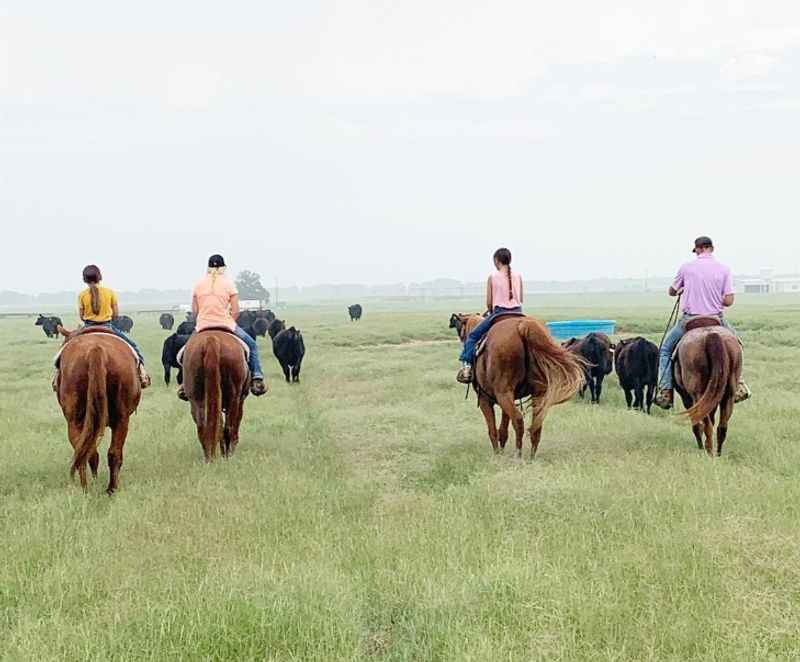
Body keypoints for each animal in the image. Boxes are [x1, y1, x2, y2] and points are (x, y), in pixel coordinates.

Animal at [54, 330, 141, 496]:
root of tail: (96, 349)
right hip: (121, 419)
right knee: (109, 453)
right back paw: (109, 488)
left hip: (76, 421)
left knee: (85, 452)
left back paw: (87, 489)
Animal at [182, 330, 250, 462]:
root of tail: (211, 340)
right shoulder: (240, 399)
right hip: (234, 396)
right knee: (228, 427)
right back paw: (227, 455)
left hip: (197, 398)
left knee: (203, 427)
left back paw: (209, 457)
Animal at [466, 314, 584, 460]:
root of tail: (522, 327)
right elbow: (503, 429)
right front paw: (501, 451)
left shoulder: (484, 400)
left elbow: (493, 430)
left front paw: (497, 454)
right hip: (538, 394)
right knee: (536, 424)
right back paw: (532, 457)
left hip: (503, 394)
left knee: (518, 420)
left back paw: (518, 454)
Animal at [672, 326, 740, 456]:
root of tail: (711, 335)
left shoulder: (687, 398)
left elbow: (696, 424)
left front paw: (700, 446)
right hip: (728, 394)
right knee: (721, 427)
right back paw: (718, 453)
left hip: (698, 394)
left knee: (706, 425)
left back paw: (708, 451)